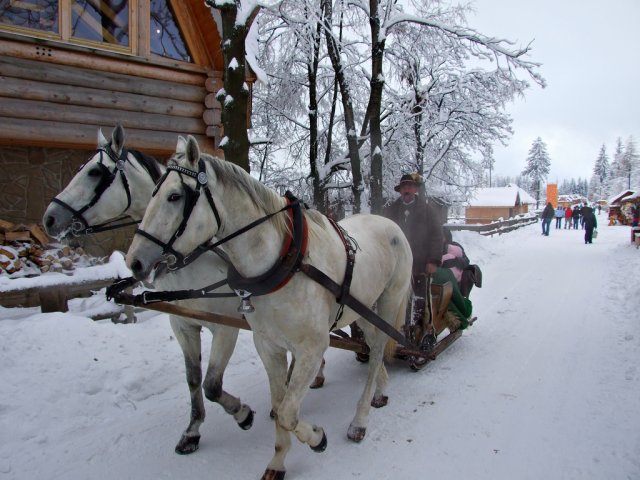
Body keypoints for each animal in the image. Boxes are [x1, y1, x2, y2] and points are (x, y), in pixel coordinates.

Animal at [40, 124, 254, 454]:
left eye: (95, 172)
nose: (50, 218)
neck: (194, 257)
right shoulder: (182, 324)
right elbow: (194, 379)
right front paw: (193, 430)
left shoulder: (226, 328)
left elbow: (212, 384)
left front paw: (242, 413)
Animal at [125, 135, 416, 480]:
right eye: (153, 193)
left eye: (174, 196)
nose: (134, 261)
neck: (285, 262)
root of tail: (389, 222)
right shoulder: (269, 346)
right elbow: (279, 407)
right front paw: (278, 460)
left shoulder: (312, 348)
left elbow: (288, 412)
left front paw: (317, 437)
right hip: (364, 306)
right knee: (373, 346)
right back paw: (380, 390)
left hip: (389, 300)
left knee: (378, 349)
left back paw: (360, 419)